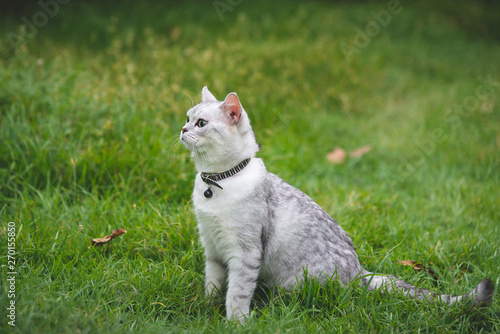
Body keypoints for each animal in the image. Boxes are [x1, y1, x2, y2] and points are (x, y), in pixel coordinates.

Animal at [179, 85, 492, 320]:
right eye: (187, 117)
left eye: (201, 123)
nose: (182, 130)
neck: (216, 182)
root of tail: (359, 272)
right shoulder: (212, 247)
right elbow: (212, 284)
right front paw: (206, 307)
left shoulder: (244, 253)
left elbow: (237, 293)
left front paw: (235, 322)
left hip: (295, 284)